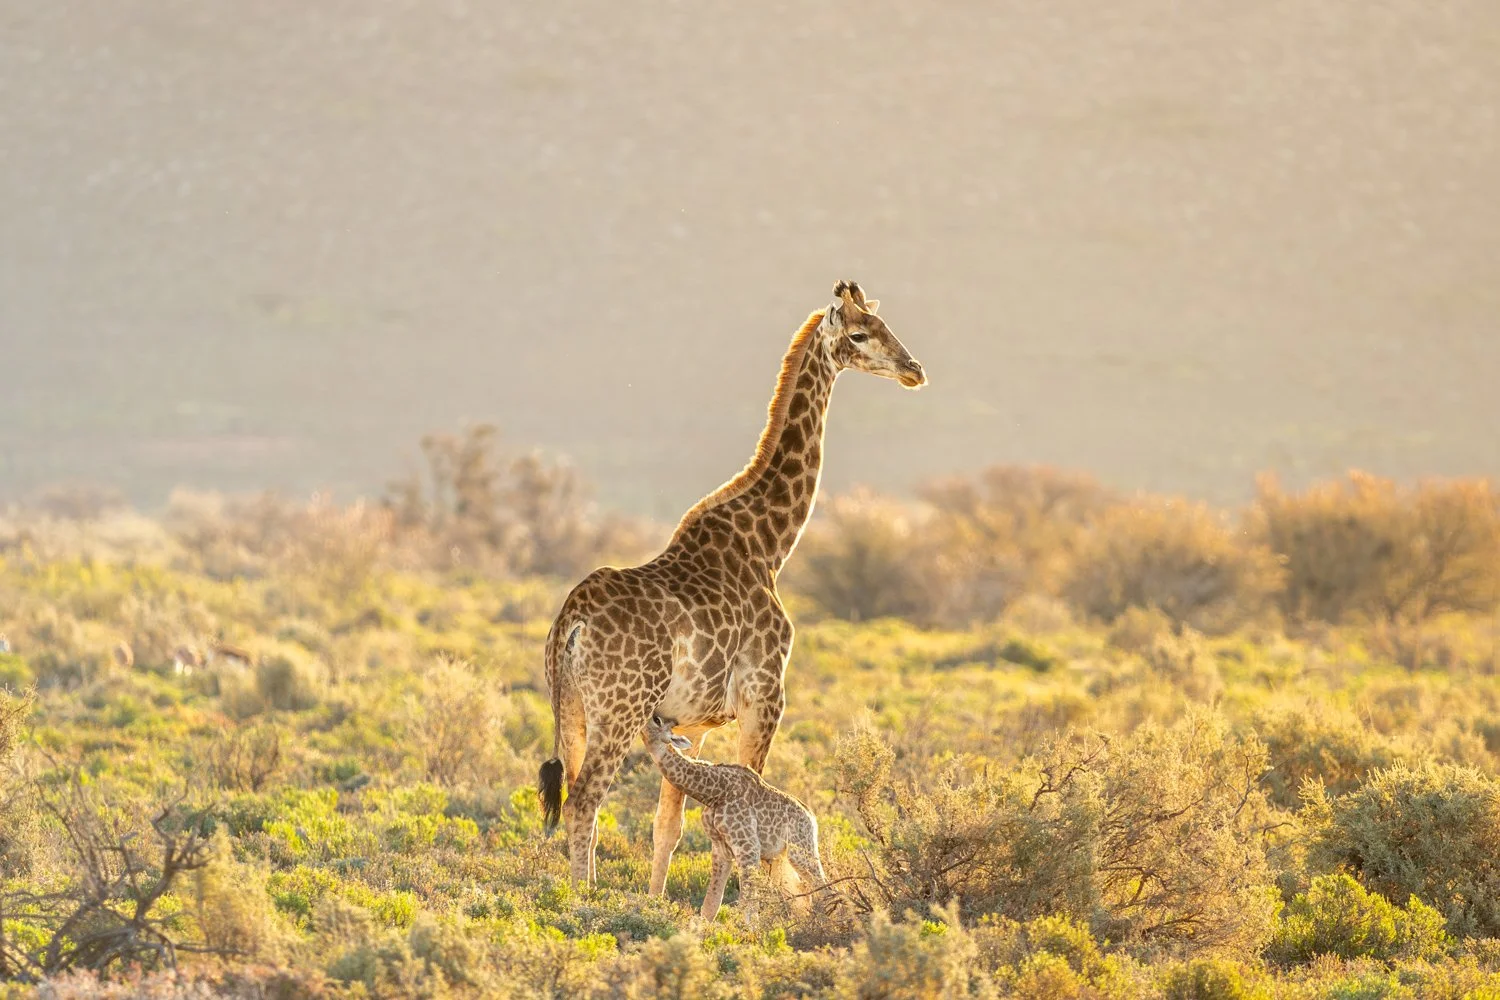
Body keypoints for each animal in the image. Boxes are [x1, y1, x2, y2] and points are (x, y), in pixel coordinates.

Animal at [538, 280, 926, 889]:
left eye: (886, 325)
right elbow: (750, 810)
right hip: (619, 709)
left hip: (572, 706)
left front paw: (653, 901)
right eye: (862, 334)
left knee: (575, 795)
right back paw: (584, 900)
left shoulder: (690, 720)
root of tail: (571, 623)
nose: (914, 369)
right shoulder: (764, 697)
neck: (769, 545)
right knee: (584, 802)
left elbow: (669, 826)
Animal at [642, 715, 829, 921]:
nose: (648, 717)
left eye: (657, 721)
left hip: (800, 851)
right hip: (779, 858)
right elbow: (711, 904)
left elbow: (748, 906)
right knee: (800, 892)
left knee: (823, 887)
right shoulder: (720, 849)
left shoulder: (748, 848)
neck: (714, 793)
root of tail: (812, 817)